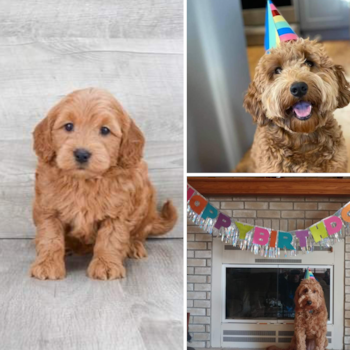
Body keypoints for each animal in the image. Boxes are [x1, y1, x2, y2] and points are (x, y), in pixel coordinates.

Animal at [30, 88, 178, 282]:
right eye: (68, 126)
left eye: (105, 130)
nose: (82, 153)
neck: (84, 182)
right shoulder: (48, 208)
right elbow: (50, 237)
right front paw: (47, 264)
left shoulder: (117, 212)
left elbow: (110, 239)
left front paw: (106, 265)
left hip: (145, 204)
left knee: (140, 234)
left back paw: (133, 246)